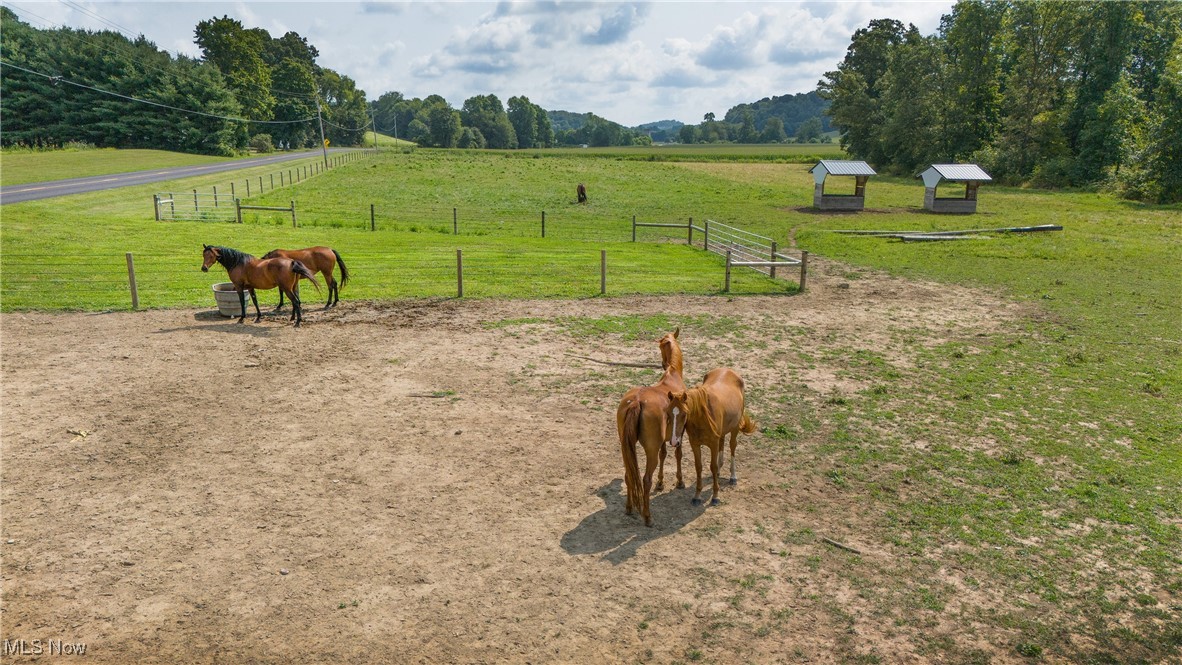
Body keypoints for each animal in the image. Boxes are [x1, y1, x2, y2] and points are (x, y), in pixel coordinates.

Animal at [666, 368, 756, 505]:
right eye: (668, 413)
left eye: (684, 414)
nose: (674, 441)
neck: (702, 416)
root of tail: (729, 370)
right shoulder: (695, 444)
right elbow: (698, 467)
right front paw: (697, 496)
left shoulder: (713, 444)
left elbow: (712, 466)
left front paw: (715, 496)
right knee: (722, 445)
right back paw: (719, 472)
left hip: (735, 428)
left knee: (732, 447)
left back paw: (733, 477)